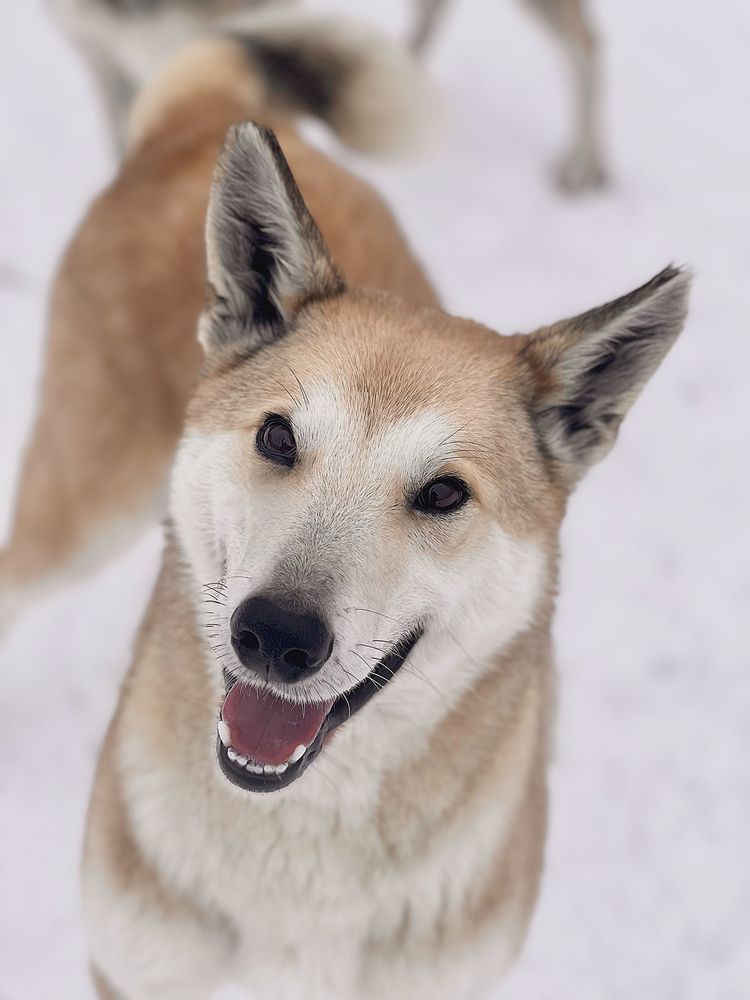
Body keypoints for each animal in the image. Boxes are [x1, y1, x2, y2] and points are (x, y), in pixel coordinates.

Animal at [73, 19, 692, 1000]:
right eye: (277, 436)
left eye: (443, 492)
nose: (275, 637)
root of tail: (207, 107)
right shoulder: (129, 969)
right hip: (86, 496)